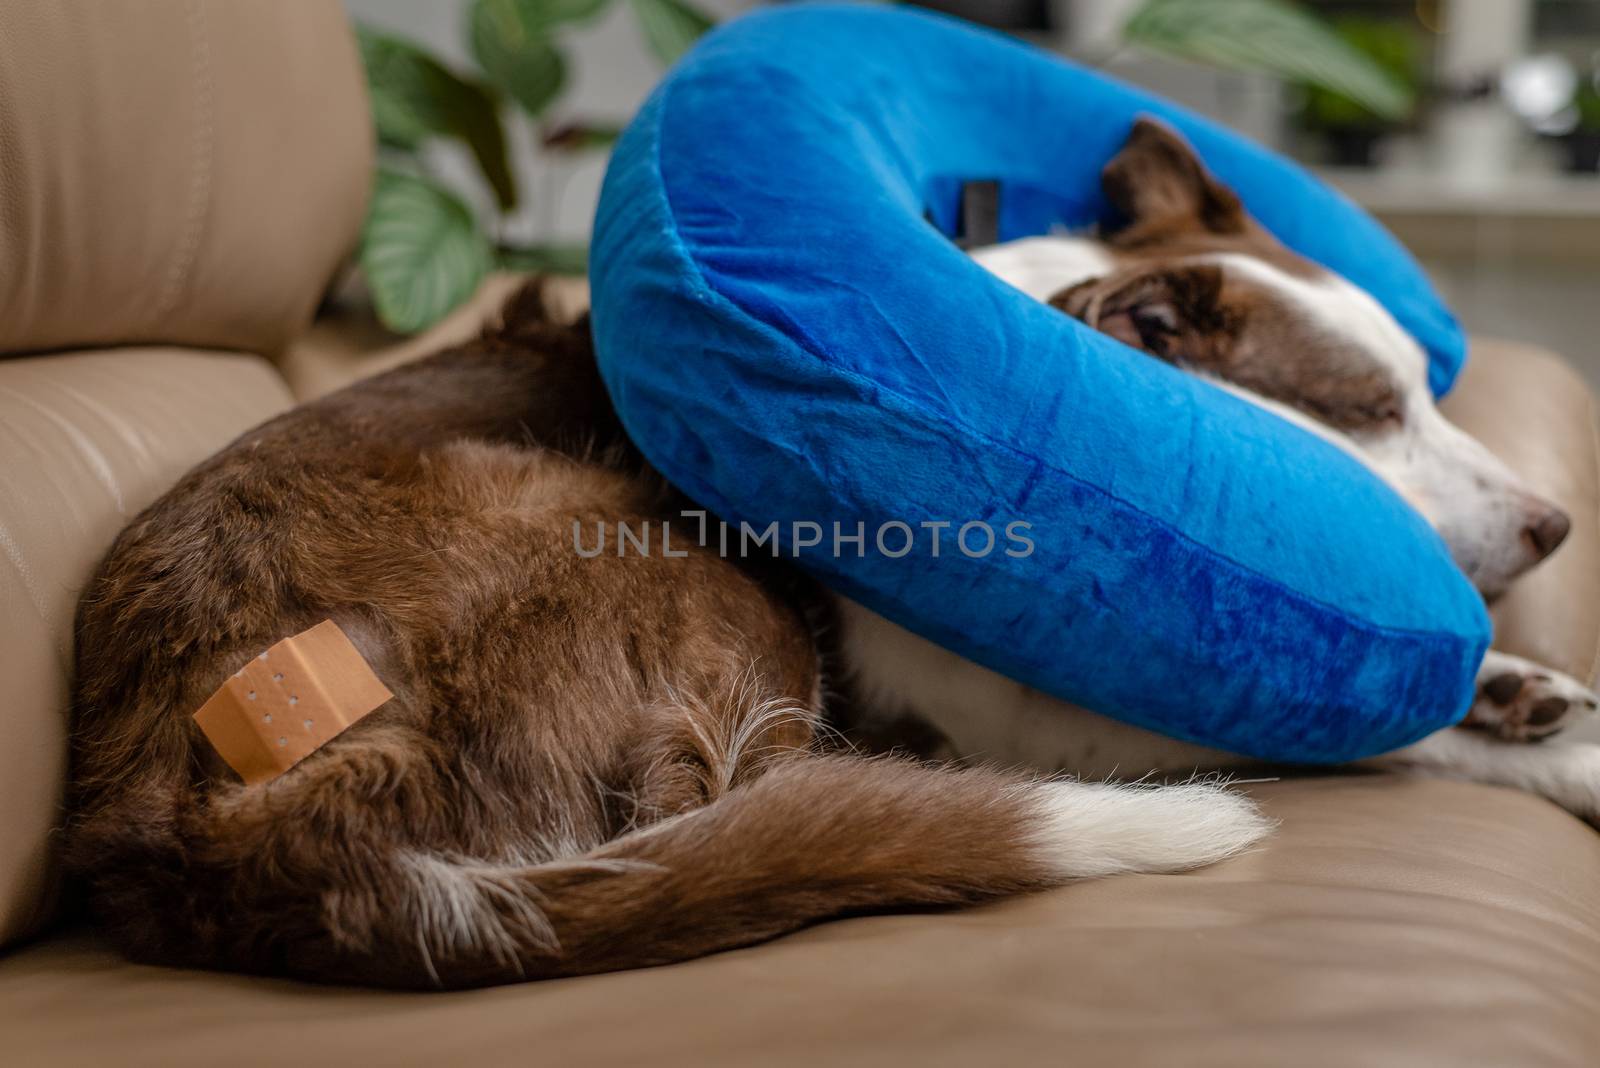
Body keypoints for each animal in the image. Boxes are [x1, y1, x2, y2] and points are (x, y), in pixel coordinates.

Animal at [68, 120, 1600, 991]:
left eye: (1428, 391)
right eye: (1370, 412)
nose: (1554, 525)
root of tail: (211, 827)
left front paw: (1530, 694)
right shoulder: (1007, 708)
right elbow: (1358, 735)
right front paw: (1544, 737)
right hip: (690, 580)